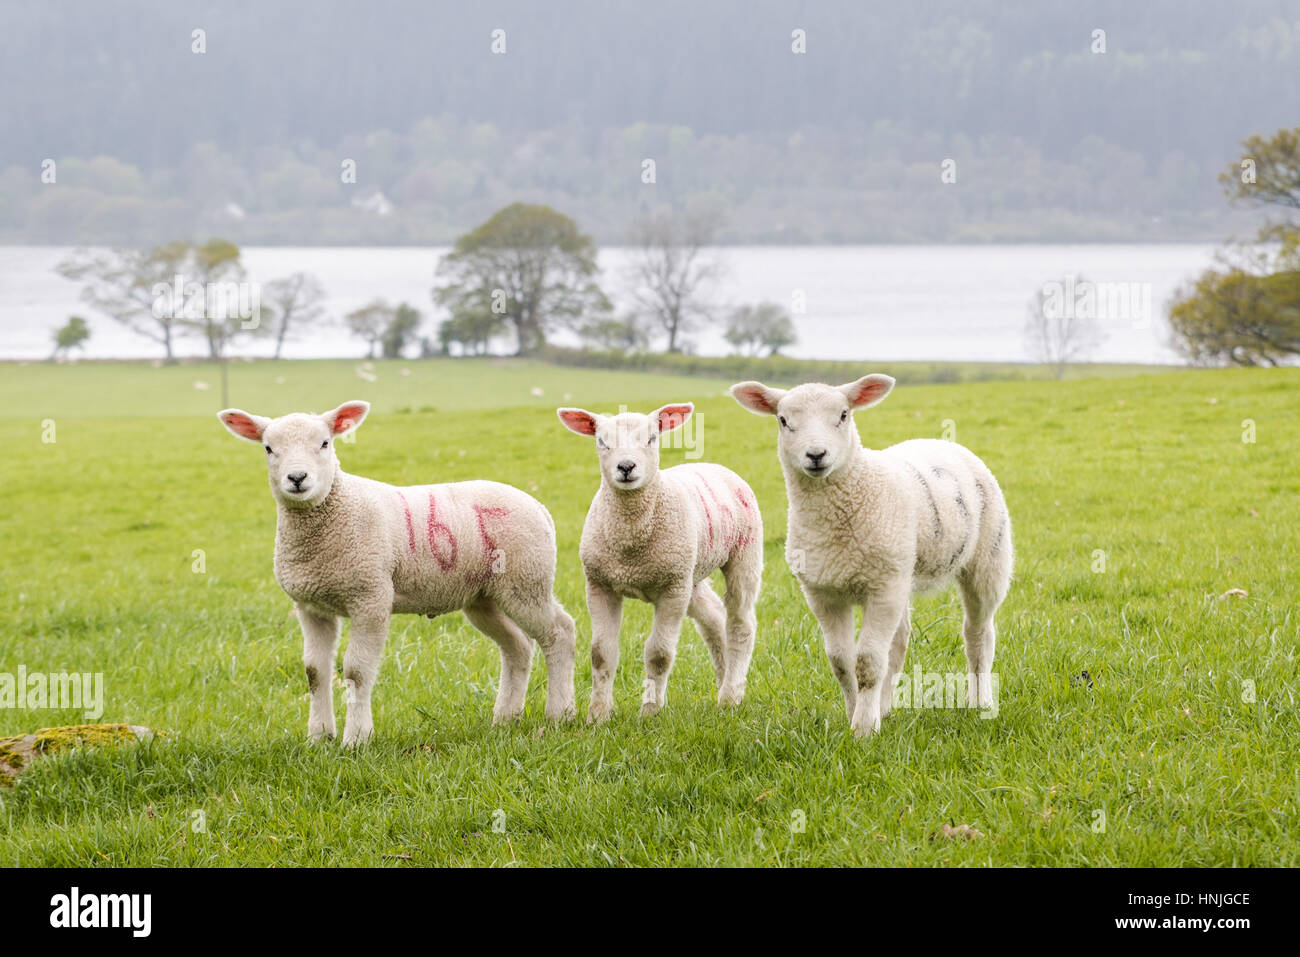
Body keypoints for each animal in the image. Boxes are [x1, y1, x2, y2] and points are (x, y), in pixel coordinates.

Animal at [217, 400, 574, 743]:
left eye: (325, 443)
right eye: (268, 448)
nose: (297, 478)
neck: (337, 508)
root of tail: (539, 507)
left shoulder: (371, 596)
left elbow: (356, 670)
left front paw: (356, 739)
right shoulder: (311, 606)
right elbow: (315, 671)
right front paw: (319, 737)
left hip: (526, 580)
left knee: (560, 631)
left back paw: (560, 714)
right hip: (484, 596)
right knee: (517, 647)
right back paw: (505, 718)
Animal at [556, 400, 759, 722]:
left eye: (652, 438)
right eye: (601, 441)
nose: (626, 467)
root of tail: (714, 466)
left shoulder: (672, 590)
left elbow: (659, 654)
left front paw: (650, 712)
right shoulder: (599, 584)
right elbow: (601, 653)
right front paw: (598, 715)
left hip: (741, 555)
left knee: (741, 624)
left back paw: (731, 696)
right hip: (689, 572)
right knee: (715, 616)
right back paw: (723, 680)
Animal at [733, 374, 1013, 738]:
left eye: (843, 415)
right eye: (783, 420)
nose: (816, 454)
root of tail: (943, 443)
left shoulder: (881, 588)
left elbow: (867, 662)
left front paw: (864, 729)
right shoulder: (824, 593)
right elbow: (841, 662)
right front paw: (857, 714)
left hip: (987, 560)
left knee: (978, 633)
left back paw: (980, 700)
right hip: (901, 573)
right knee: (900, 641)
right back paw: (885, 707)